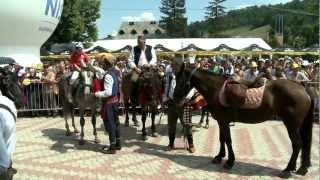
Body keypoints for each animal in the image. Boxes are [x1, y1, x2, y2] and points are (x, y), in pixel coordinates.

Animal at [172, 62, 316, 178]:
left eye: (180, 81)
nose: (174, 99)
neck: (217, 89)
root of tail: (302, 87)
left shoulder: (224, 121)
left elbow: (228, 140)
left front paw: (230, 162)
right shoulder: (221, 121)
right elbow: (222, 138)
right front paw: (219, 157)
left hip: (291, 124)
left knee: (297, 144)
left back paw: (287, 170)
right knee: (303, 144)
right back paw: (301, 168)